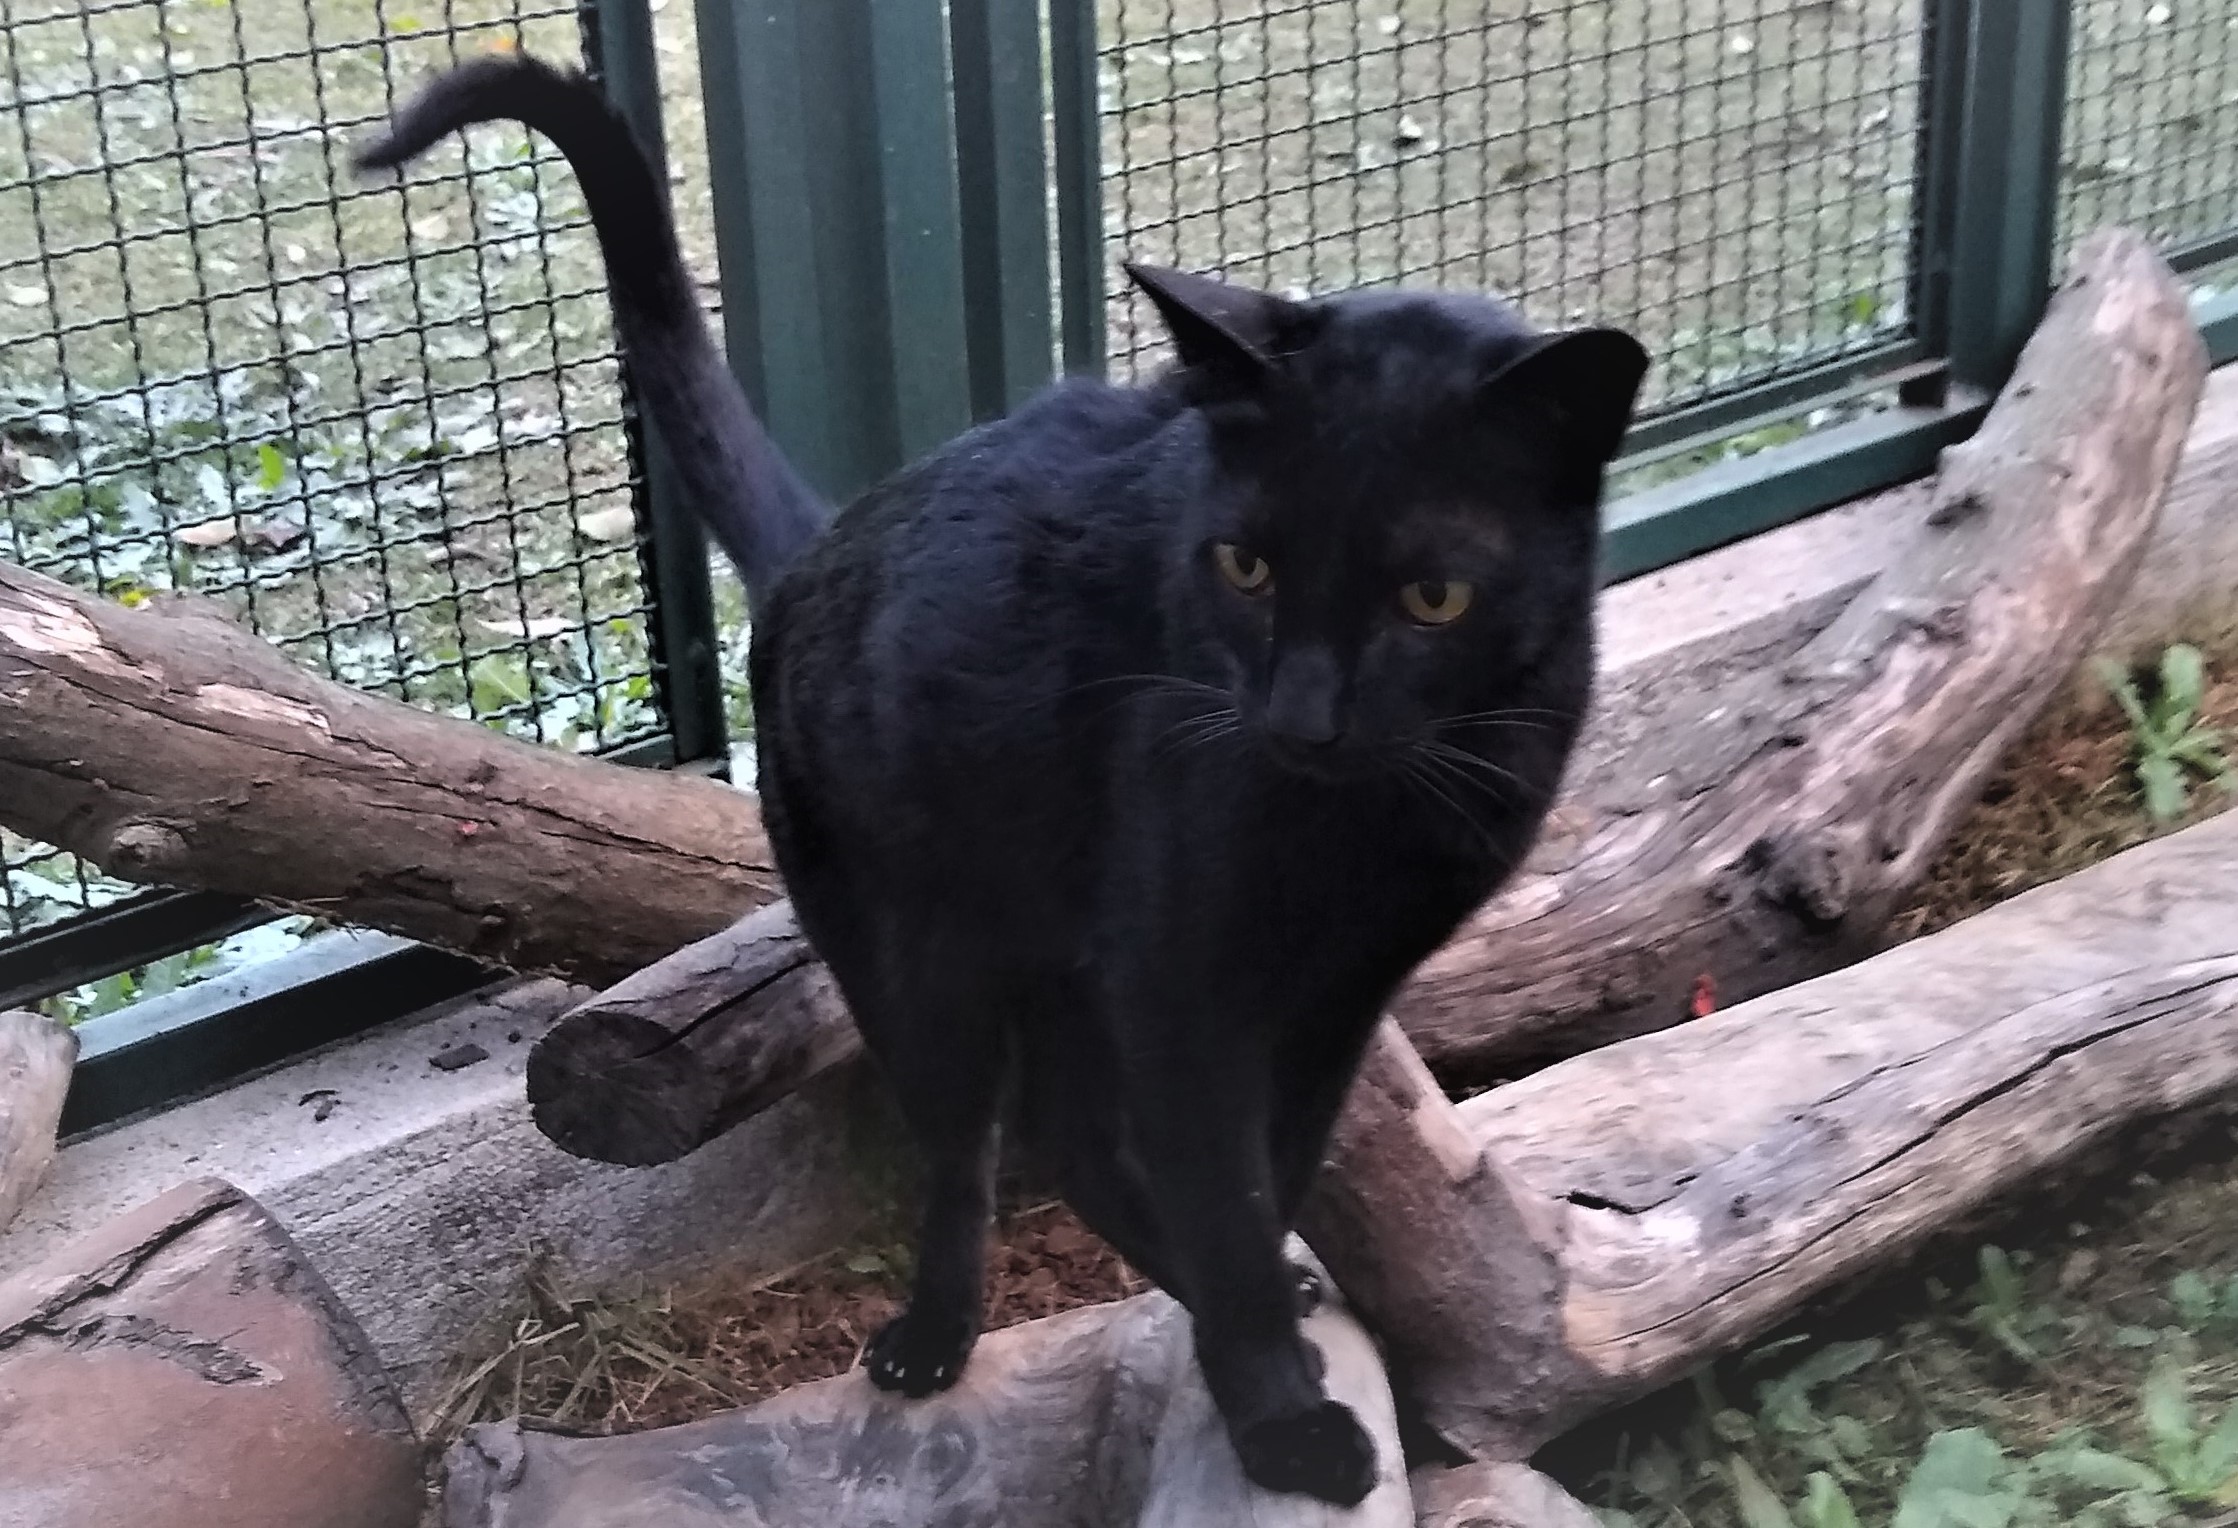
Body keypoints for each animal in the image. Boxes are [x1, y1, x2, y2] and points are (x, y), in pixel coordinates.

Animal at [362, 56, 1647, 1503]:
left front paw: (1261, 1324)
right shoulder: (1184, 983)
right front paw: (1281, 1415)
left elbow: (1272, 1171)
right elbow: (1224, 1193)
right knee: (977, 1147)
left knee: (1075, 1135)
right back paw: (933, 1336)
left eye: (1433, 597)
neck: (1375, 823)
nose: (1301, 716)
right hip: (915, 957)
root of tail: (826, 546)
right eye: (1245, 566)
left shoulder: (1336, 993)